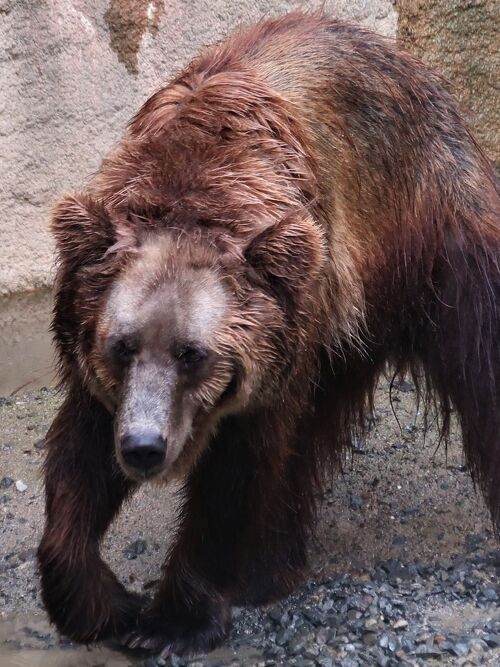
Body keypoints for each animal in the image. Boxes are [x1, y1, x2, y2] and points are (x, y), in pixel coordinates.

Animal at [38, 9, 500, 656]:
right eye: (121, 346)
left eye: (192, 353)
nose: (145, 447)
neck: (191, 183)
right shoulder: (98, 353)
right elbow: (79, 459)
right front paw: (100, 603)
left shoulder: (268, 357)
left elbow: (238, 473)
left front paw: (170, 622)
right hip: (339, 327)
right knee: (311, 434)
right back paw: (270, 567)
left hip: (433, 226)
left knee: (481, 353)